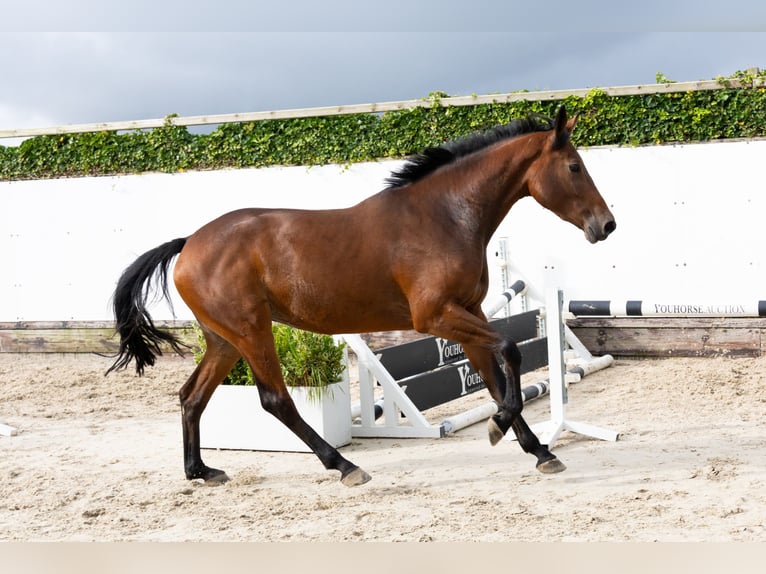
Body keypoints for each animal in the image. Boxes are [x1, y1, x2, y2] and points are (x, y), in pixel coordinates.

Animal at [107, 105, 616, 487]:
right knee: (275, 400)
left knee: (191, 396)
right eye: (574, 167)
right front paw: (499, 428)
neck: (445, 215)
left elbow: (494, 378)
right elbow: (510, 349)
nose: (606, 225)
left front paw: (539, 450)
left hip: (224, 339)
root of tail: (189, 242)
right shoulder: (436, 316)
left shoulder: (467, 313)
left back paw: (200, 471)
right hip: (252, 332)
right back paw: (345, 466)